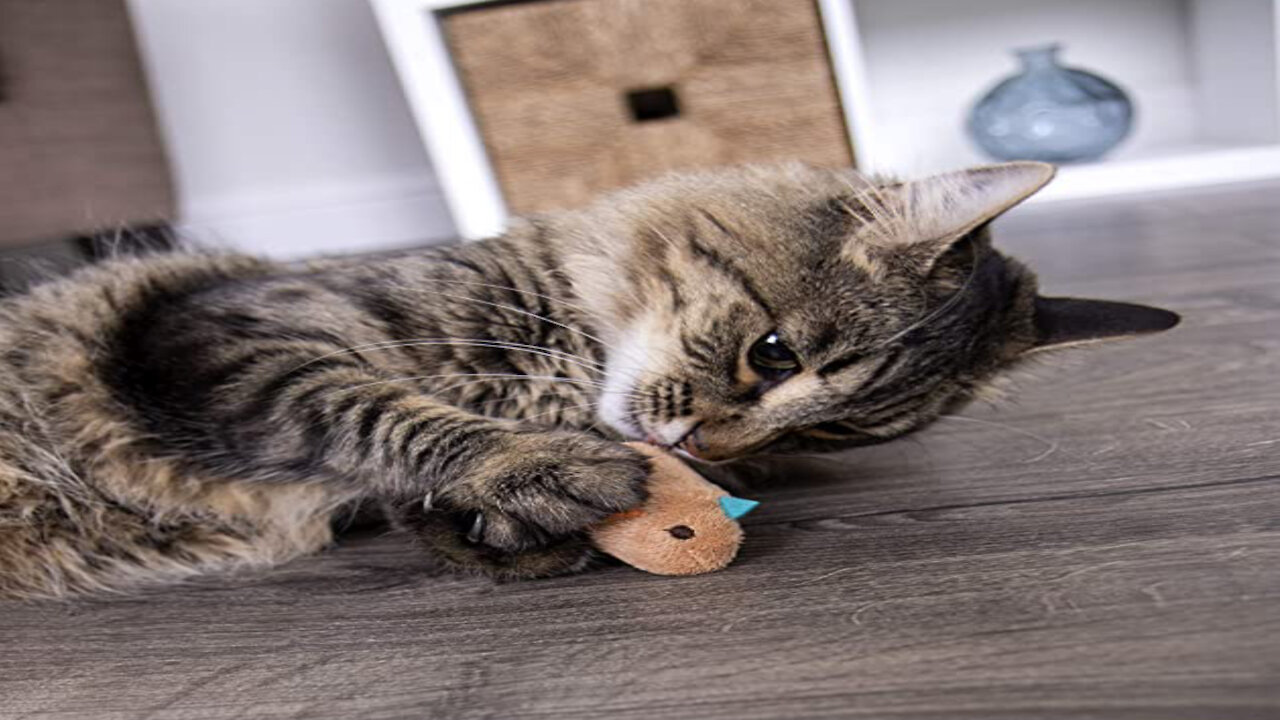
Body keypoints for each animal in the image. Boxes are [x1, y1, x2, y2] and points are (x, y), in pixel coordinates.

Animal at [0, 161, 1177, 594]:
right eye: (772, 353)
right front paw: (538, 467)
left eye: (825, 435)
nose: (703, 451)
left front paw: (506, 519)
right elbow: (369, 408)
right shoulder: (231, 335)